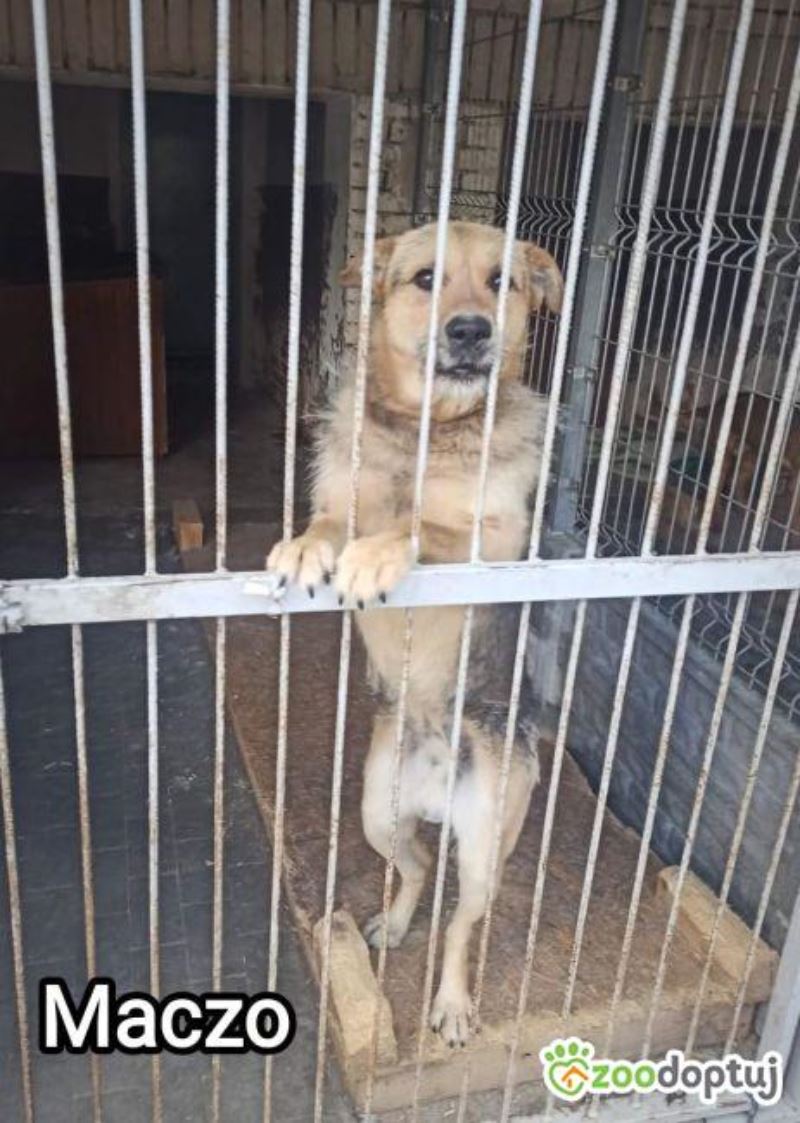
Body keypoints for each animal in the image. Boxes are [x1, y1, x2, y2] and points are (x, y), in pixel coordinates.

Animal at [267, 221, 563, 1046]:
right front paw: (308, 549)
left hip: (488, 840)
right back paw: (395, 924)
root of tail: (438, 780)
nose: (471, 330)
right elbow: (333, 519)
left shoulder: (497, 540)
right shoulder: (340, 494)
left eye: (502, 282)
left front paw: (376, 555)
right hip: (377, 811)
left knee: (462, 920)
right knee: (420, 865)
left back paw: (453, 1003)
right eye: (427, 278)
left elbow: (420, 524)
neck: (428, 428)